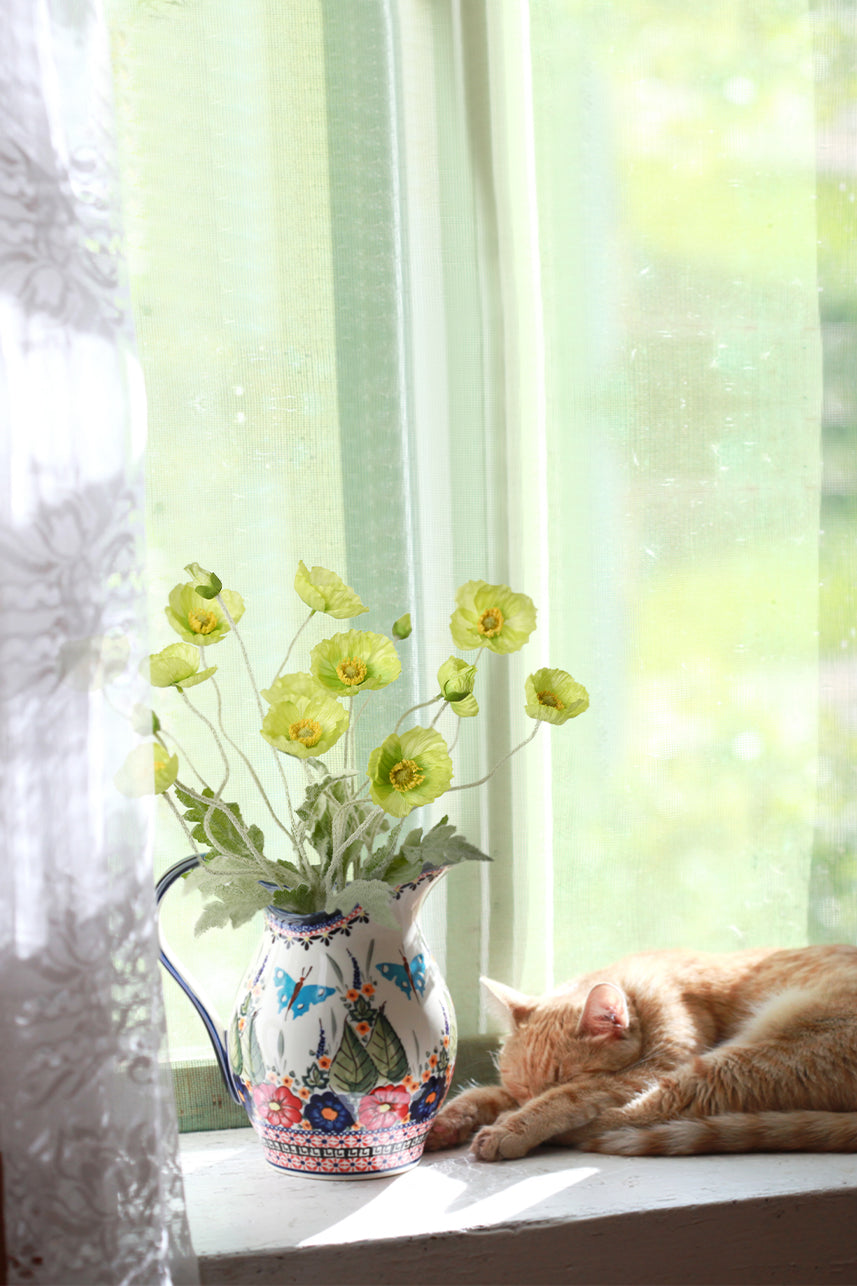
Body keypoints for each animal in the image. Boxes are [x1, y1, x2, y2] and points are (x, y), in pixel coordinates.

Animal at [427, 946, 857, 1157]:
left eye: (559, 1079)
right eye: (521, 1089)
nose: (520, 1103)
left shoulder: (654, 1069)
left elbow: (569, 1097)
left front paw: (510, 1125)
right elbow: (484, 1094)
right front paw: (445, 1122)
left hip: (735, 1064)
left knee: (646, 1115)